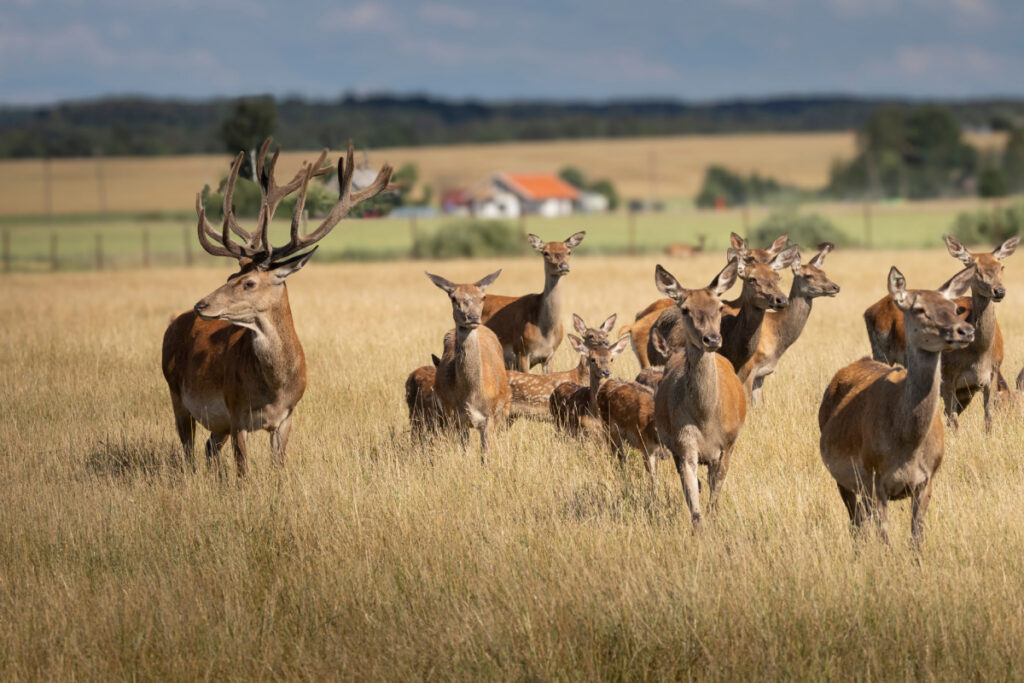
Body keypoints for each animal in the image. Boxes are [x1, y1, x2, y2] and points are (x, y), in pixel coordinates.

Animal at [161, 139, 393, 476]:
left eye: (248, 283)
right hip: (177, 394)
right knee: (188, 450)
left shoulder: (286, 417)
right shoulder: (236, 412)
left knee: (207, 449)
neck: (273, 389)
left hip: (215, 423)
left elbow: (278, 467)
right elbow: (243, 471)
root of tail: (173, 325)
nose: (201, 304)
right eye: (229, 277)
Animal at [426, 270, 510, 463]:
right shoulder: (456, 418)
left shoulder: (489, 417)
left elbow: (485, 456)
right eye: (453, 298)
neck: (470, 396)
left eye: (483, 297)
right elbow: (464, 451)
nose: (472, 317)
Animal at [652, 260, 746, 529]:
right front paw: (700, 529)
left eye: (720, 306)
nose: (711, 339)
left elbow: (715, 495)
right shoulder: (684, 444)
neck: (706, 419)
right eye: (685, 309)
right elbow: (693, 500)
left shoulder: (728, 444)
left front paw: (715, 521)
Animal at [819, 266, 975, 547]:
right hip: (840, 477)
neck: (907, 445)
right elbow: (885, 539)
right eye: (920, 309)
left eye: (953, 307)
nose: (965, 331)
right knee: (855, 524)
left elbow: (916, 537)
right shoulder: (874, 479)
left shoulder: (927, 479)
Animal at [863, 235, 1018, 430]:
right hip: (880, 351)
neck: (979, 356)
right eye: (974, 267)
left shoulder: (990, 375)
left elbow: (987, 419)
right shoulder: (948, 376)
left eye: (1001, 266)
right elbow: (953, 421)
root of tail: (869, 310)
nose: (999, 291)